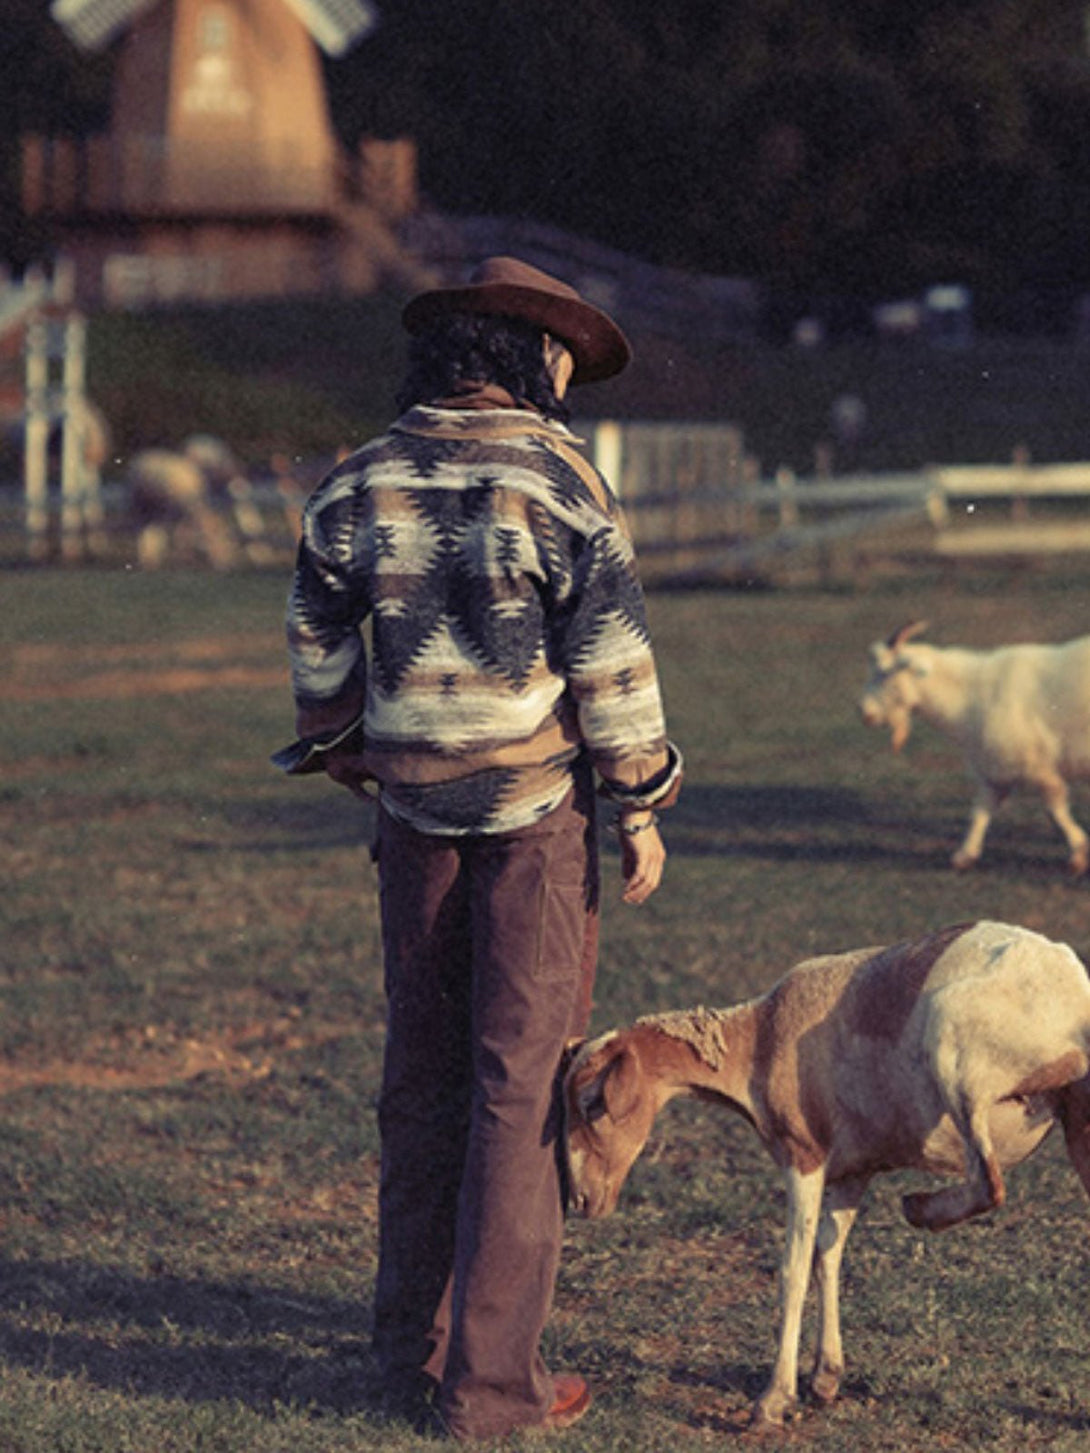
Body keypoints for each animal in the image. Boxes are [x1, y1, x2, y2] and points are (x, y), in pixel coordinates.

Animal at [566, 924, 1090, 1423]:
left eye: (593, 1103)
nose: (582, 1200)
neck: (759, 1039)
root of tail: (1071, 993)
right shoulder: (851, 1172)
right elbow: (827, 1257)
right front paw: (825, 1376)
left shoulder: (805, 1157)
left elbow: (793, 1270)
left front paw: (774, 1400)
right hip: (1077, 1125)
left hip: (958, 1064)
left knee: (988, 1182)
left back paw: (920, 1208)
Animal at [860, 618, 1090, 865]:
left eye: (884, 671)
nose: (864, 712)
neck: (972, 695)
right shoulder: (994, 769)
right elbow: (980, 811)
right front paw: (965, 854)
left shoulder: (1033, 764)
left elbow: (1054, 810)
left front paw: (1078, 851)